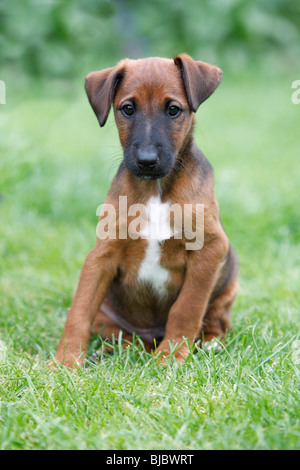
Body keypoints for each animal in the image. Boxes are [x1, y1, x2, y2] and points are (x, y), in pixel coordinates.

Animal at [52, 54, 238, 368]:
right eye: (128, 109)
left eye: (173, 109)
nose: (147, 161)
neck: (156, 192)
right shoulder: (101, 256)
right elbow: (78, 313)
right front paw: (64, 363)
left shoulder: (209, 249)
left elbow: (186, 309)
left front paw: (171, 356)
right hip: (109, 313)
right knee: (123, 337)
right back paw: (111, 351)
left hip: (227, 280)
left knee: (216, 322)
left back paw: (207, 344)